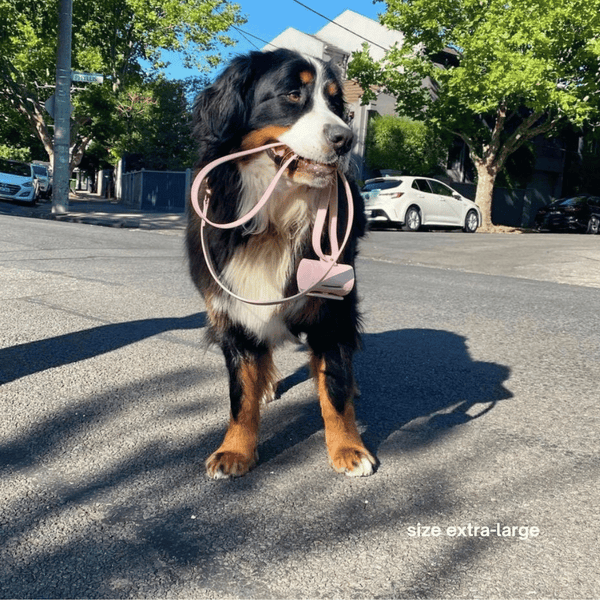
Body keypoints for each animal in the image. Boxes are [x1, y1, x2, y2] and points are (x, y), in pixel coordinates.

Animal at [188, 45, 376, 478]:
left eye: (336, 103)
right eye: (293, 94)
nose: (345, 139)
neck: (276, 216)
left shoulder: (331, 313)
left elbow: (335, 389)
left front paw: (347, 448)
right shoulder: (233, 311)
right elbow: (240, 394)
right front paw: (235, 450)